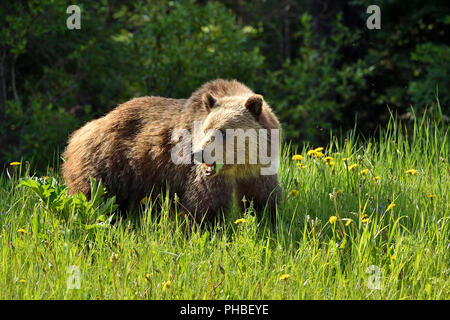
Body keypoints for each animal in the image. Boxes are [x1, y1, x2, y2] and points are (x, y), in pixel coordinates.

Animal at [62, 79, 282, 221]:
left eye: (222, 132)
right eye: (205, 129)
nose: (199, 154)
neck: (238, 165)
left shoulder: (259, 170)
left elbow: (264, 199)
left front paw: (268, 220)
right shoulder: (205, 176)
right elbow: (205, 206)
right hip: (108, 164)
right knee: (97, 198)